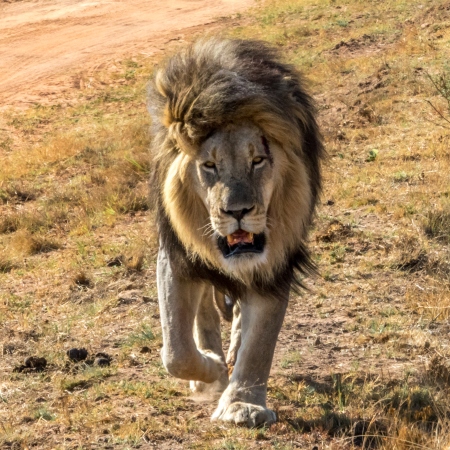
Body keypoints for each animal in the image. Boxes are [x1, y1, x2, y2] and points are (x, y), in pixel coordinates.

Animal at [148, 37, 324, 426]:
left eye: (257, 160)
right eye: (209, 165)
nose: (238, 211)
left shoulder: (275, 264)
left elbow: (260, 342)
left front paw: (243, 404)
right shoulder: (176, 258)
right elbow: (176, 351)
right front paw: (212, 375)